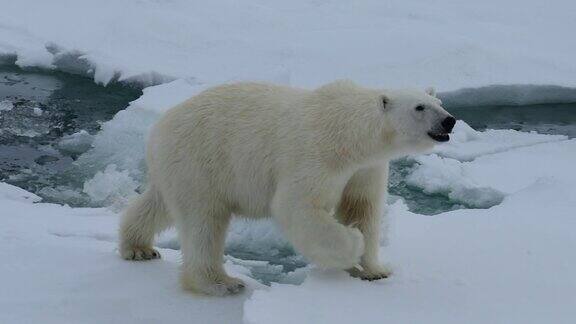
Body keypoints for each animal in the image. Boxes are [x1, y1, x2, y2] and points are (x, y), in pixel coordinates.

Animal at [120, 79, 454, 296]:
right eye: (420, 107)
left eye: (439, 103)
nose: (449, 121)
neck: (352, 135)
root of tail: (157, 129)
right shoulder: (317, 154)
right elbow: (296, 205)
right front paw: (353, 245)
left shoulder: (365, 168)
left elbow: (362, 207)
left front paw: (374, 269)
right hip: (201, 160)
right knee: (204, 222)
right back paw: (221, 283)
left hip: (179, 168)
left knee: (158, 204)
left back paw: (138, 247)